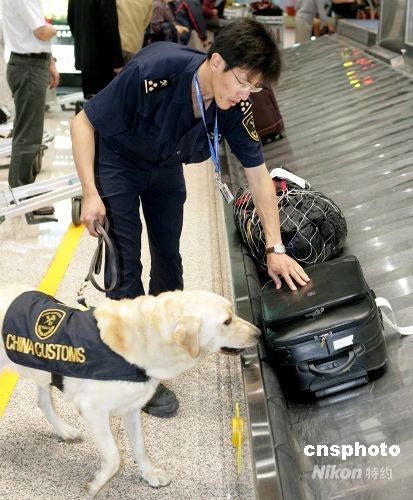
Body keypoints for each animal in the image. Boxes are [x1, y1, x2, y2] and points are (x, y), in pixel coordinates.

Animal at [0, 285, 260, 497]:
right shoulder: (92, 409)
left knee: (43, 402)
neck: (147, 338)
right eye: (227, 321)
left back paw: (65, 430)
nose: (258, 333)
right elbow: (114, 457)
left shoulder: (131, 408)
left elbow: (140, 447)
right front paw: (96, 485)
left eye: (233, 312)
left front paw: (148, 473)